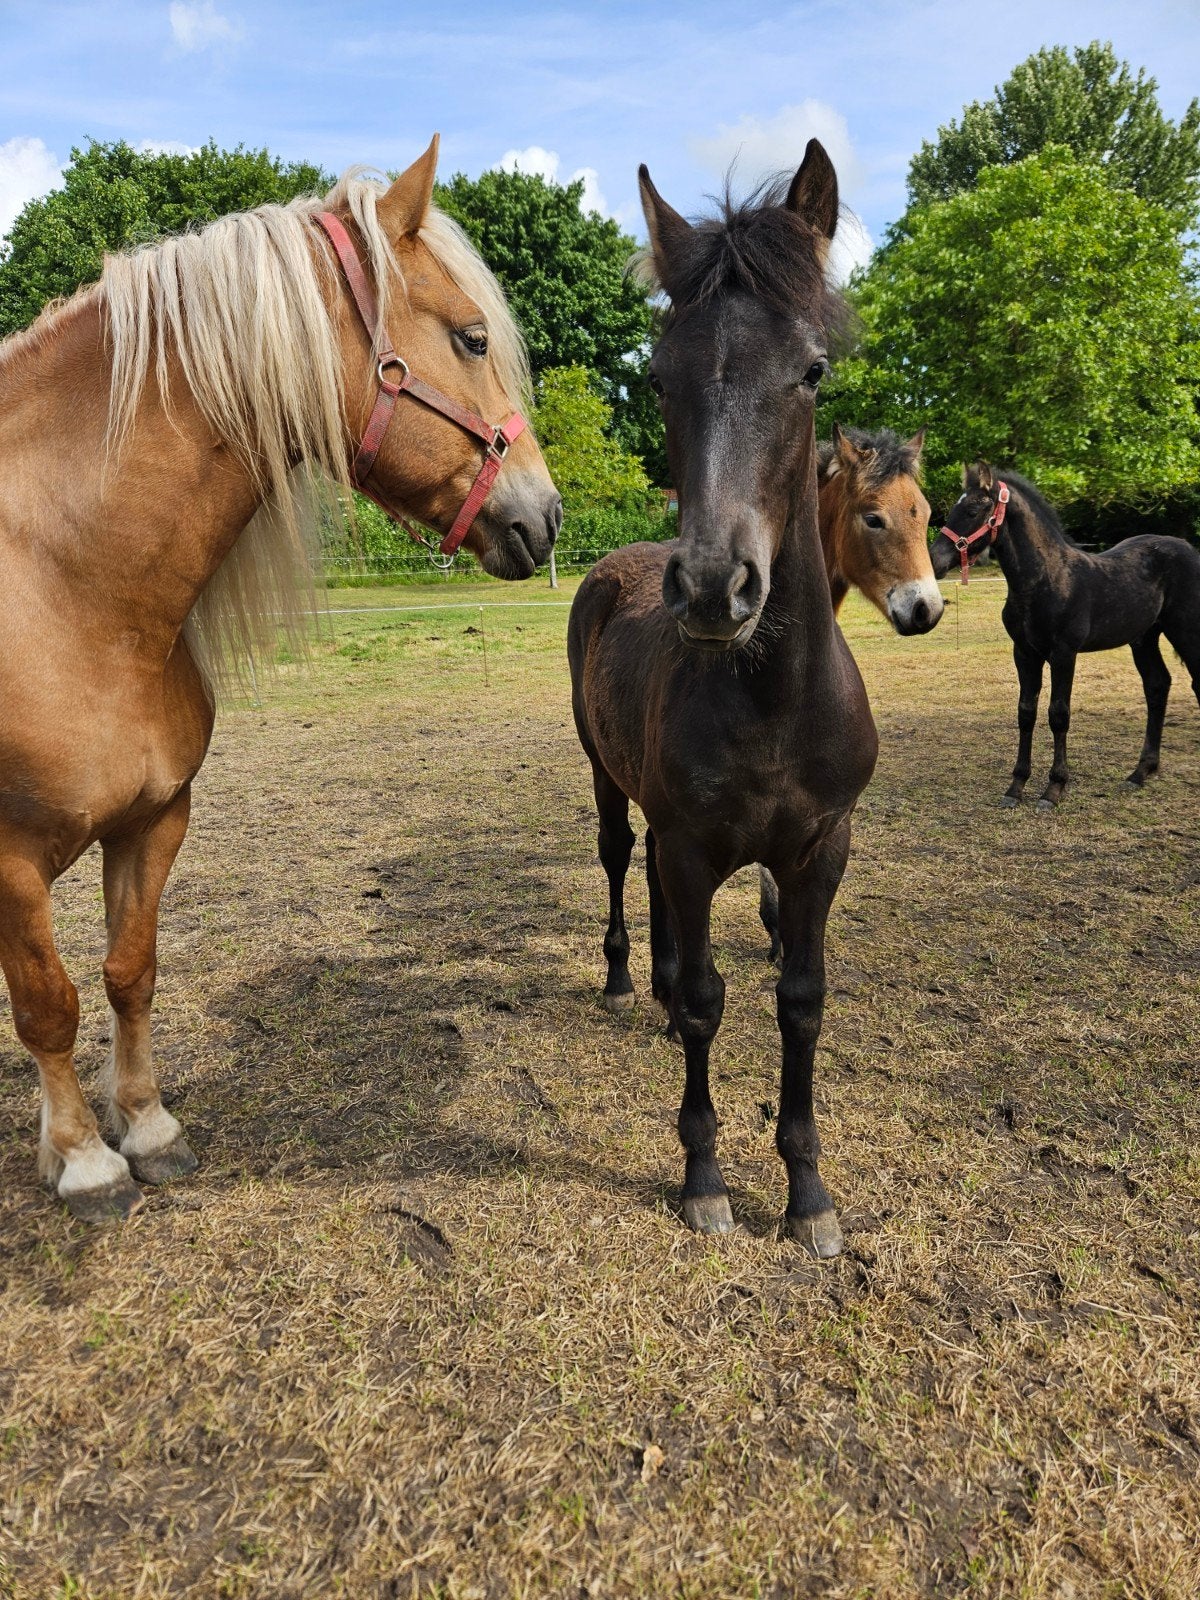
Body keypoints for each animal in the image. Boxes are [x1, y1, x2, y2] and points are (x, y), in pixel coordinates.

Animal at [0, 135, 560, 1222]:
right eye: (472, 338)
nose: (546, 515)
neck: (70, 587)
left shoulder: (155, 818)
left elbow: (130, 971)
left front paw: (147, 1127)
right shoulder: (7, 860)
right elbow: (48, 1004)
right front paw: (84, 1160)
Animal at [568, 142, 878, 1258]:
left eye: (813, 370)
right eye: (659, 375)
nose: (712, 588)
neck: (773, 707)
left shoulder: (820, 851)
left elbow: (801, 1003)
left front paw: (809, 1193)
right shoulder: (700, 846)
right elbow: (710, 1000)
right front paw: (704, 1179)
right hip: (608, 781)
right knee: (625, 861)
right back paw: (631, 980)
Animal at [931, 462, 1200, 808]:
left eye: (973, 509)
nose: (934, 560)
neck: (1045, 578)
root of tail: (1188, 548)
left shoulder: (1064, 653)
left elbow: (1058, 714)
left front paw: (1054, 789)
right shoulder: (1025, 653)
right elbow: (1026, 712)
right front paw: (1015, 787)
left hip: (1186, 630)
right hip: (1144, 637)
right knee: (1157, 685)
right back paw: (1140, 773)